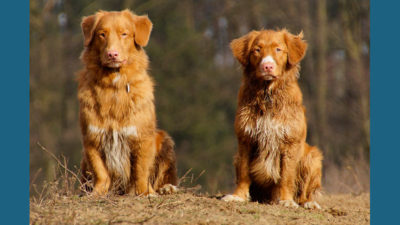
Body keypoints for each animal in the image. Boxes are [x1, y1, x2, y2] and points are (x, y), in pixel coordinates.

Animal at [77, 9, 177, 195]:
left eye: (124, 34)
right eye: (102, 34)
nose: (112, 54)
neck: (114, 86)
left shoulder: (142, 137)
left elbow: (141, 170)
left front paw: (145, 192)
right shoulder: (91, 138)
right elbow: (100, 171)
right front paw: (97, 192)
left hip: (164, 140)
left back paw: (166, 188)